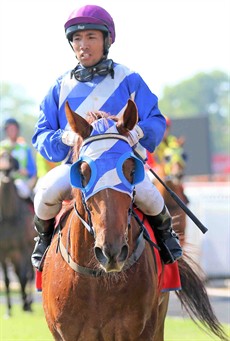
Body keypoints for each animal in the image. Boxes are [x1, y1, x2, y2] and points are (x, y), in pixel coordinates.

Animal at [41, 99, 226, 340]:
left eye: (130, 169)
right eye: (83, 172)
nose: (111, 251)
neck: (98, 280)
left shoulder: (141, 330)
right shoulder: (66, 333)